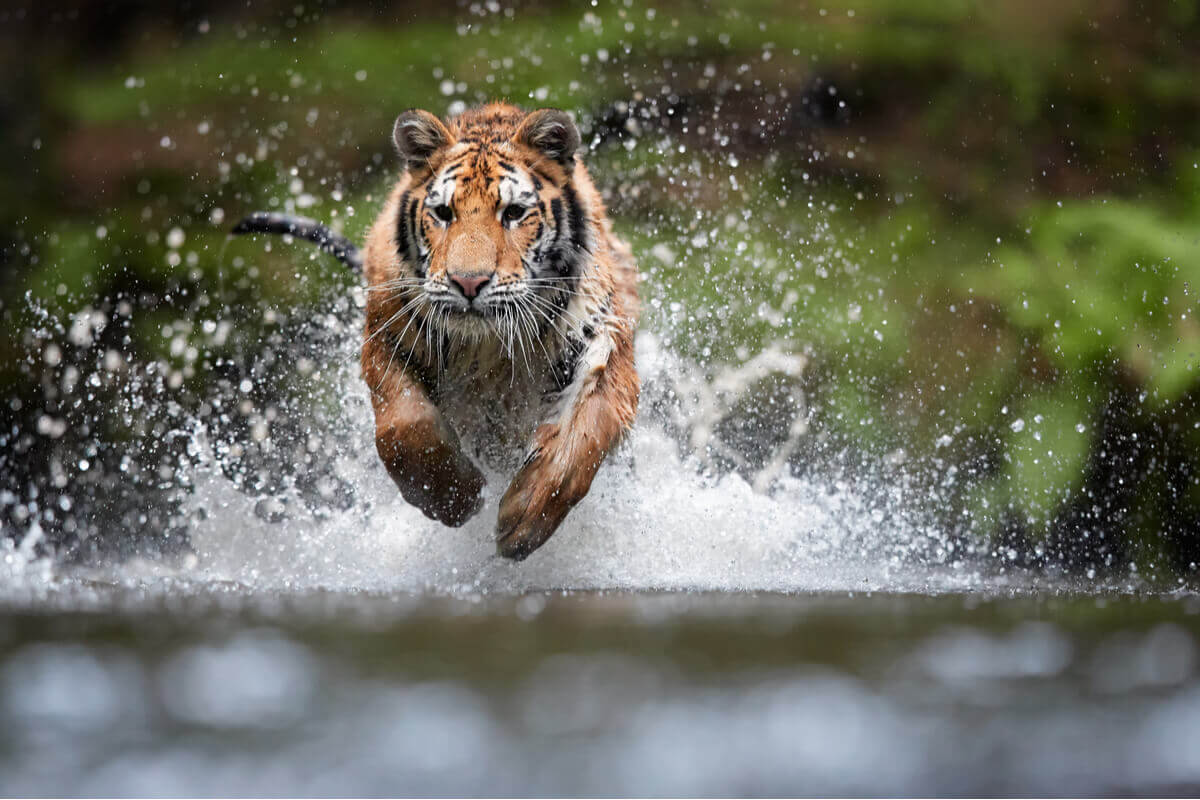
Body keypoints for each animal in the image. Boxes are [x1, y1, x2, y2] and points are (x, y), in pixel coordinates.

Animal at [237, 103, 643, 561]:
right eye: (444, 213)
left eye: (513, 213)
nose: (468, 282)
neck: (487, 348)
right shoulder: (385, 338)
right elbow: (404, 428)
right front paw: (456, 499)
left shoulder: (604, 343)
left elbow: (583, 436)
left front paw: (522, 522)